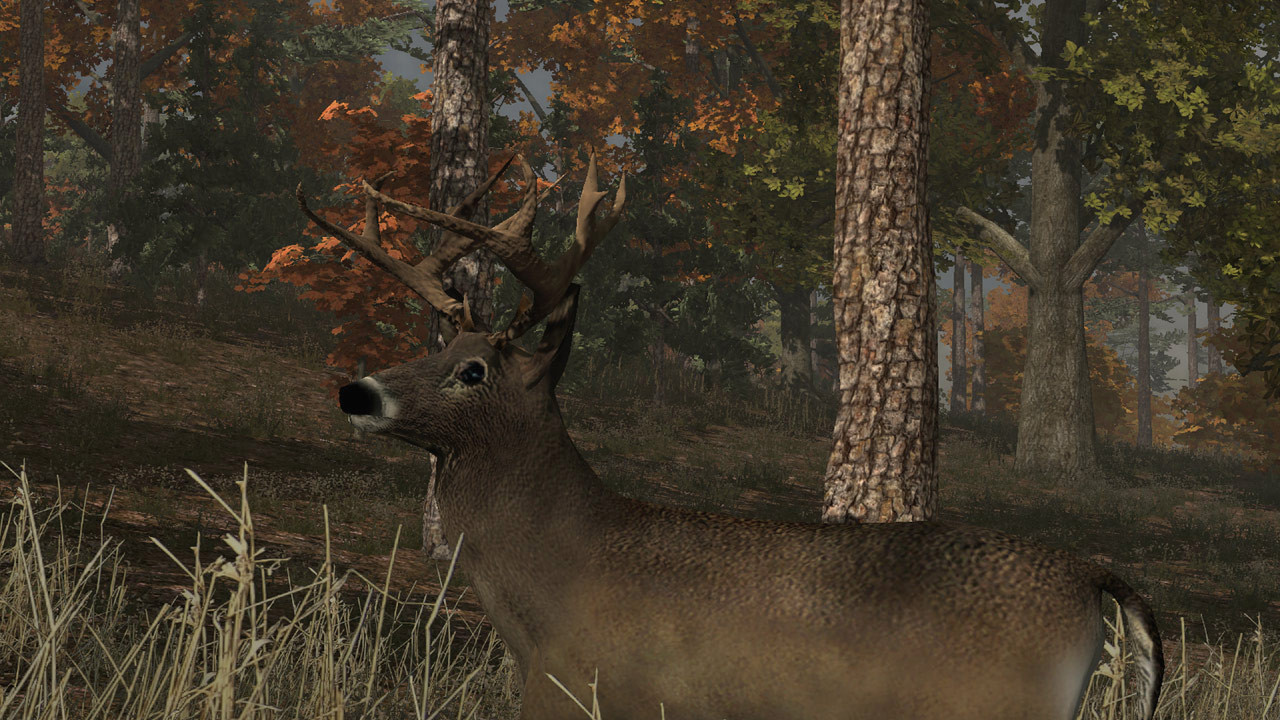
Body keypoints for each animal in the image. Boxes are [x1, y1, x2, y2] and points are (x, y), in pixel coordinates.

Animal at [295, 149, 1163, 720]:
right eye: (436, 345)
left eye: (472, 370)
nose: (356, 390)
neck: (550, 598)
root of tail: (1093, 574)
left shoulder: (604, 697)